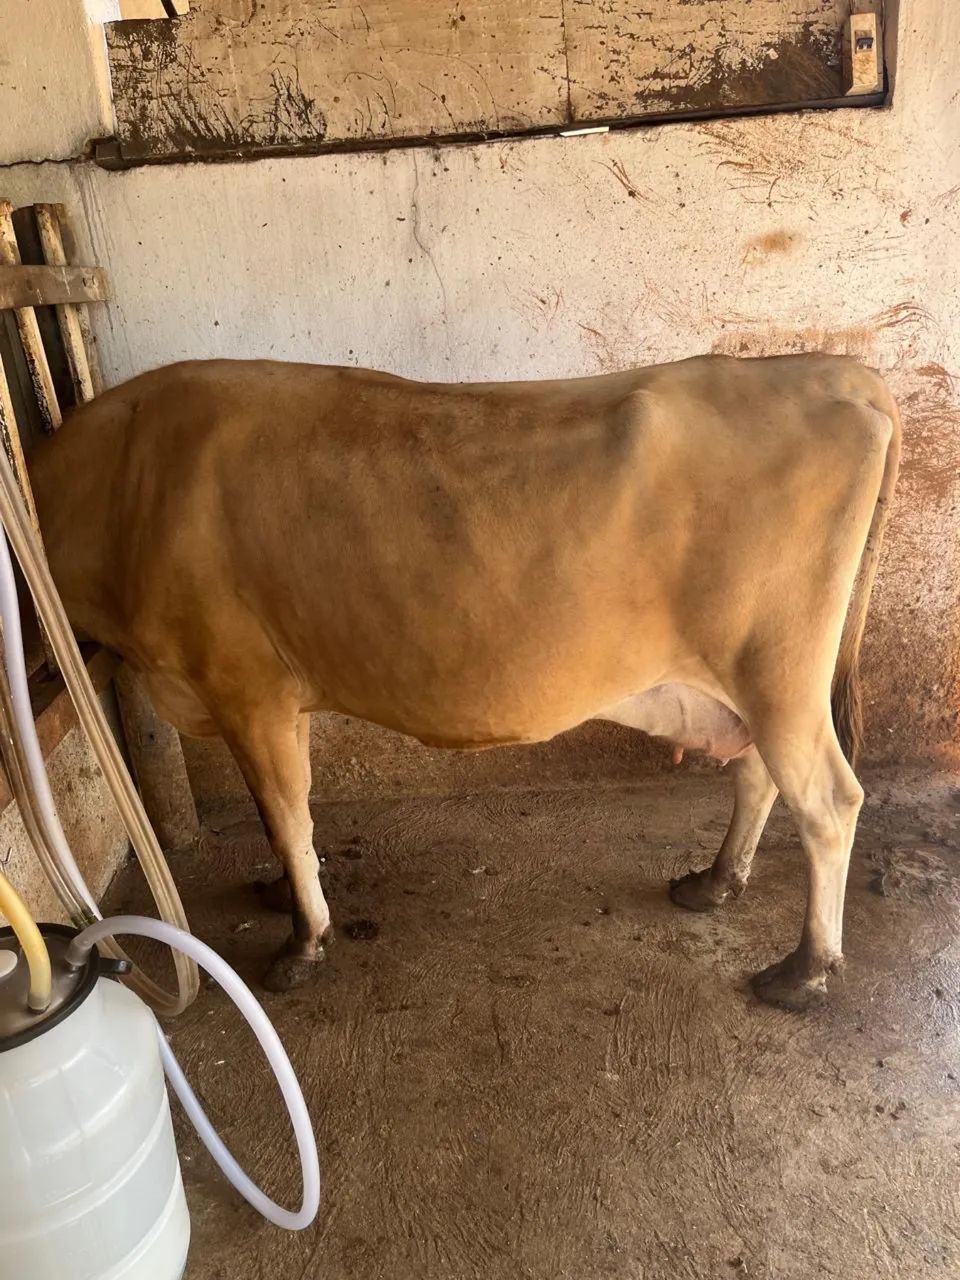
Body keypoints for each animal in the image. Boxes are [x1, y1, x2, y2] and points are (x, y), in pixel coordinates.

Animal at [30, 352, 900, 1009]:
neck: (122, 479)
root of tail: (831, 369)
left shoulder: (242, 682)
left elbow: (282, 814)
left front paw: (305, 942)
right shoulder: (281, 687)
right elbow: (290, 810)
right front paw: (286, 890)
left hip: (776, 668)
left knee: (828, 803)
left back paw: (805, 972)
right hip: (755, 682)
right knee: (759, 775)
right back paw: (717, 883)